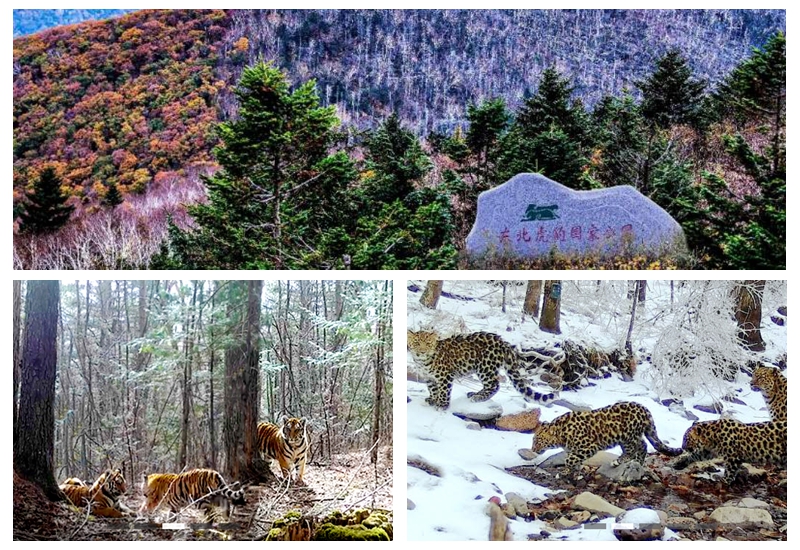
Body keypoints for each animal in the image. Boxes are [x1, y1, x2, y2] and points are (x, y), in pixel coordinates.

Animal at [406, 332, 556, 410]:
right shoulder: (429, 377)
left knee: (494, 385)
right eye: (417, 343)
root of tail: (503, 343)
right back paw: (474, 393)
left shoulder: (446, 376)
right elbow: (433, 389)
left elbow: (444, 390)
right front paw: (432, 399)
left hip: (485, 367)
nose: (421, 352)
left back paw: (478, 397)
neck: (423, 362)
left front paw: (442, 405)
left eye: (428, 344)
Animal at [532, 402, 680, 474]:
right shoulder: (574, 450)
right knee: (642, 445)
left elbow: (569, 459)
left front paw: (566, 470)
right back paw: (638, 462)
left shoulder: (589, 447)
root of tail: (644, 409)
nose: (533, 449)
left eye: (537, 441)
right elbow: (573, 459)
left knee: (634, 449)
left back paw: (619, 461)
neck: (561, 434)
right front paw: (572, 470)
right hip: (628, 438)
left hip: (628, 437)